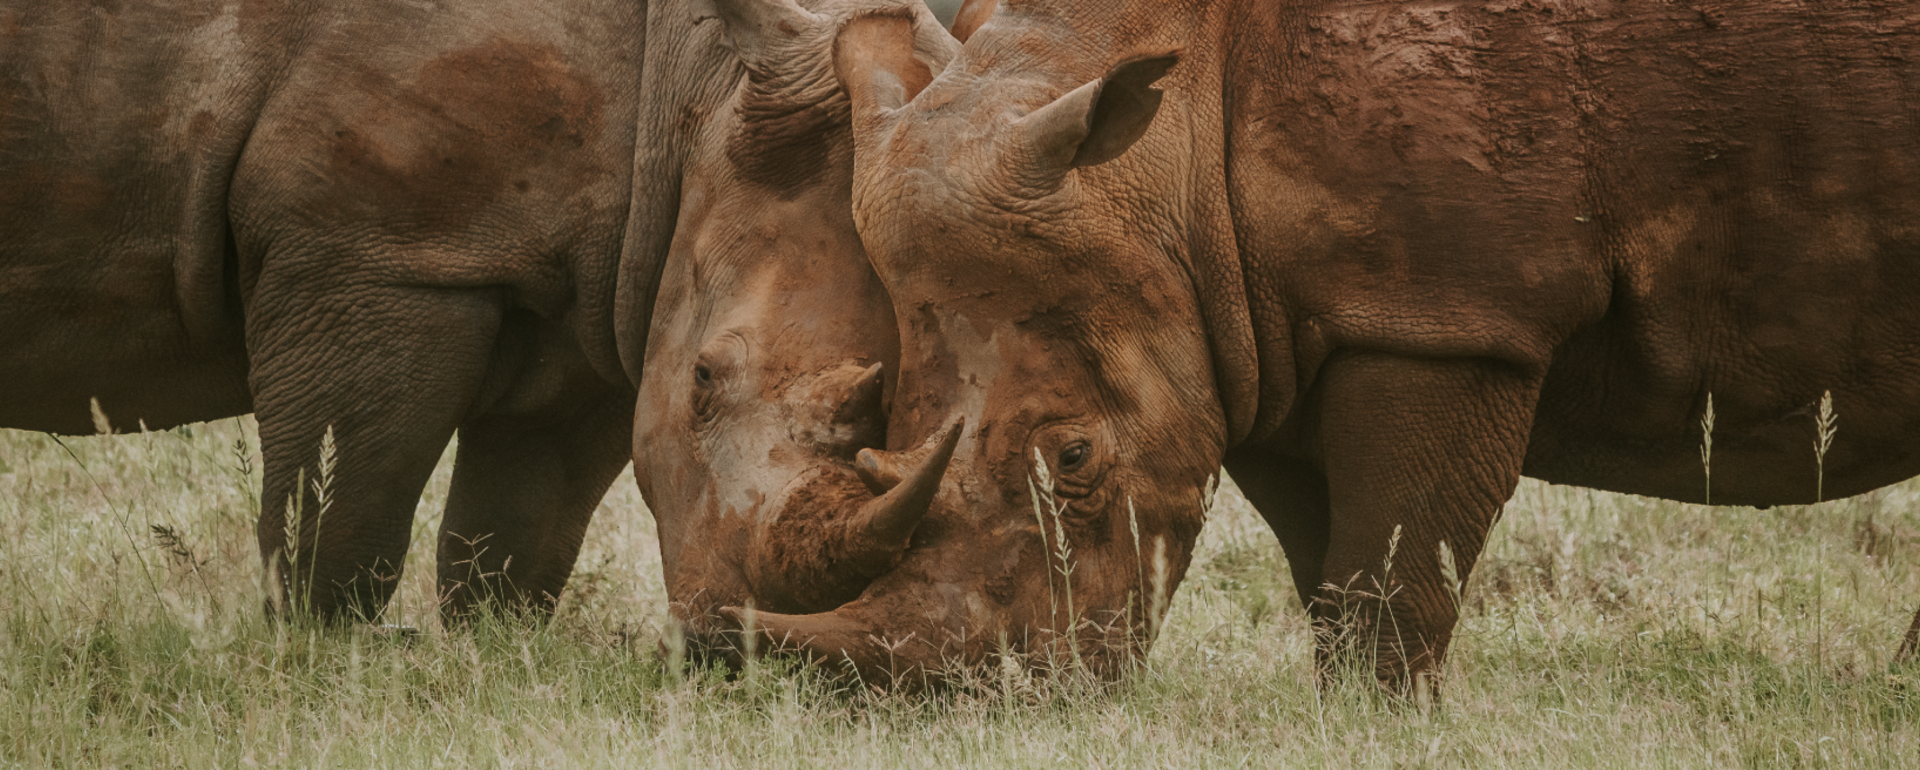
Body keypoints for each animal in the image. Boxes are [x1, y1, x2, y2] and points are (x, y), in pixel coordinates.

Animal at [0, 0, 960, 622]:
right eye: (703, 380)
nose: (742, 644)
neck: (692, 86)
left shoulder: (598, 296)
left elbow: (520, 528)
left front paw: (491, 657)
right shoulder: (384, 254)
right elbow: (343, 508)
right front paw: (316, 654)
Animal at [718, 0, 1920, 683]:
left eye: (1075, 458)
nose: (961, 690)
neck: (1159, 156)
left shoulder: (1443, 312)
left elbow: (1397, 546)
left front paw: (1389, 713)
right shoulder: (1265, 330)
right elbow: (1335, 558)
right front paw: (1356, 703)